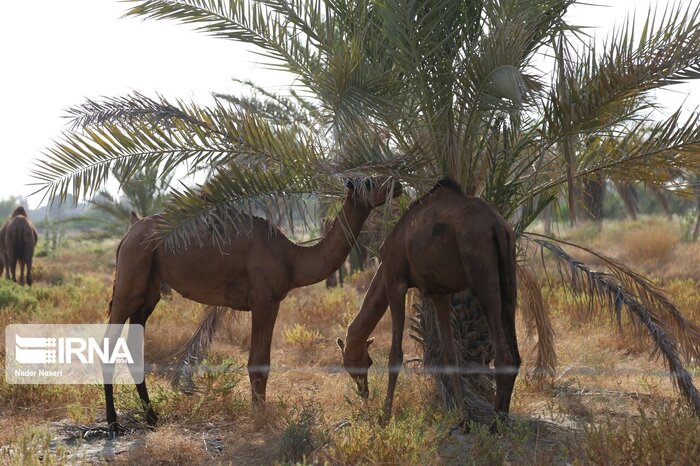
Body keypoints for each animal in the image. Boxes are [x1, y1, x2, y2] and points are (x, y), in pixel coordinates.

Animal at [101, 175, 402, 434]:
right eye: (369, 182)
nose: (395, 184)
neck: (292, 257)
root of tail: (126, 236)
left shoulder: (273, 302)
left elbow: (263, 363)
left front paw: (260, 412)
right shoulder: (263, 301)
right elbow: (257, 363)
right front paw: (259, 419)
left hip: (149, 290)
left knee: (133, 343)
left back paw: (152, 418)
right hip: (131, 274)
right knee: (110, 340)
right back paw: (114, 424)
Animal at [340, 178, 520, 422]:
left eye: (366, 362)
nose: (363, 391)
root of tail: (498, 226)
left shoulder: (395, 282)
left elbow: (395, 355)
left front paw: (384, 418)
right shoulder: (439, 293)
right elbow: (450, 354)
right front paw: (463, 418)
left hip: (482, 274)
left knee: (504, 355)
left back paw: (496, 424)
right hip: (509, 275)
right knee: (515, 350)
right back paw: (501, 419)